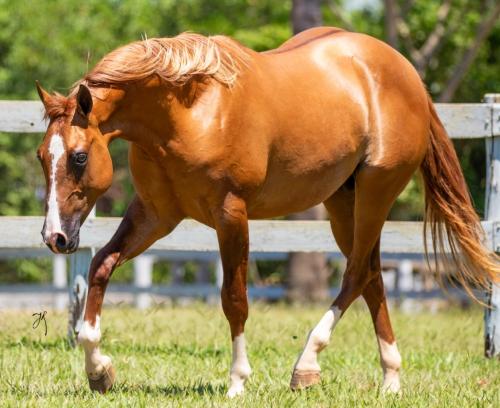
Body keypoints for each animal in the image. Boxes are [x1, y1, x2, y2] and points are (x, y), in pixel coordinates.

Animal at [35, 27, 496, 396]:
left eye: (78, 157)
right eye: (42, 156)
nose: (55, 237)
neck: (189, 113)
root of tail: (407, 75)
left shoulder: (230, 215)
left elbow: (235, 298)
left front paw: (237, 381)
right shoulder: (155, 214)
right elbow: (101, 265)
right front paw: (99, 370)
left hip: (376, 192)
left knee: (354, 275)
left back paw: (307, 366)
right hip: (342, 202)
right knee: (372, 278)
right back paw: (391, 378)